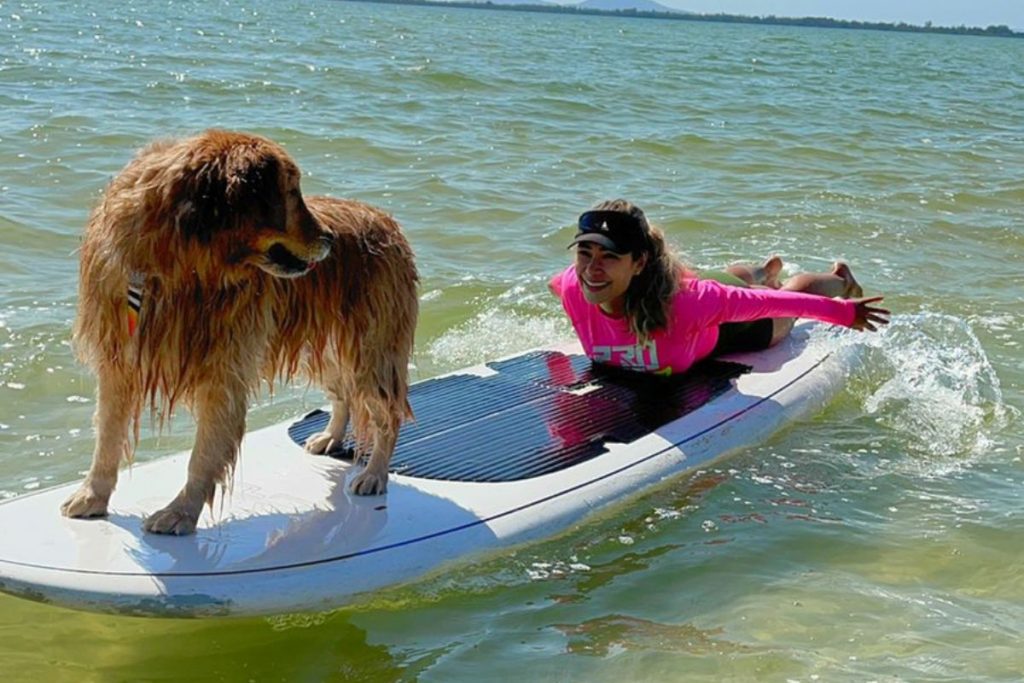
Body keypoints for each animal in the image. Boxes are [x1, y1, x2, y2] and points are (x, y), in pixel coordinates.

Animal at [59, 127, 417, 532]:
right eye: (291, 192)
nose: (329, 239)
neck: (174, 269)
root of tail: (387, 220)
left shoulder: (222, 371)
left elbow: (202, 454)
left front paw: (180, 512)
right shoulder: (118, 361)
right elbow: (106, 436)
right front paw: (92, 496)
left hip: (372, 351)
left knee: (386, 413)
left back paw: (374, 474)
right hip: (323, 346)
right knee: (343, 393)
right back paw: (330, 436)